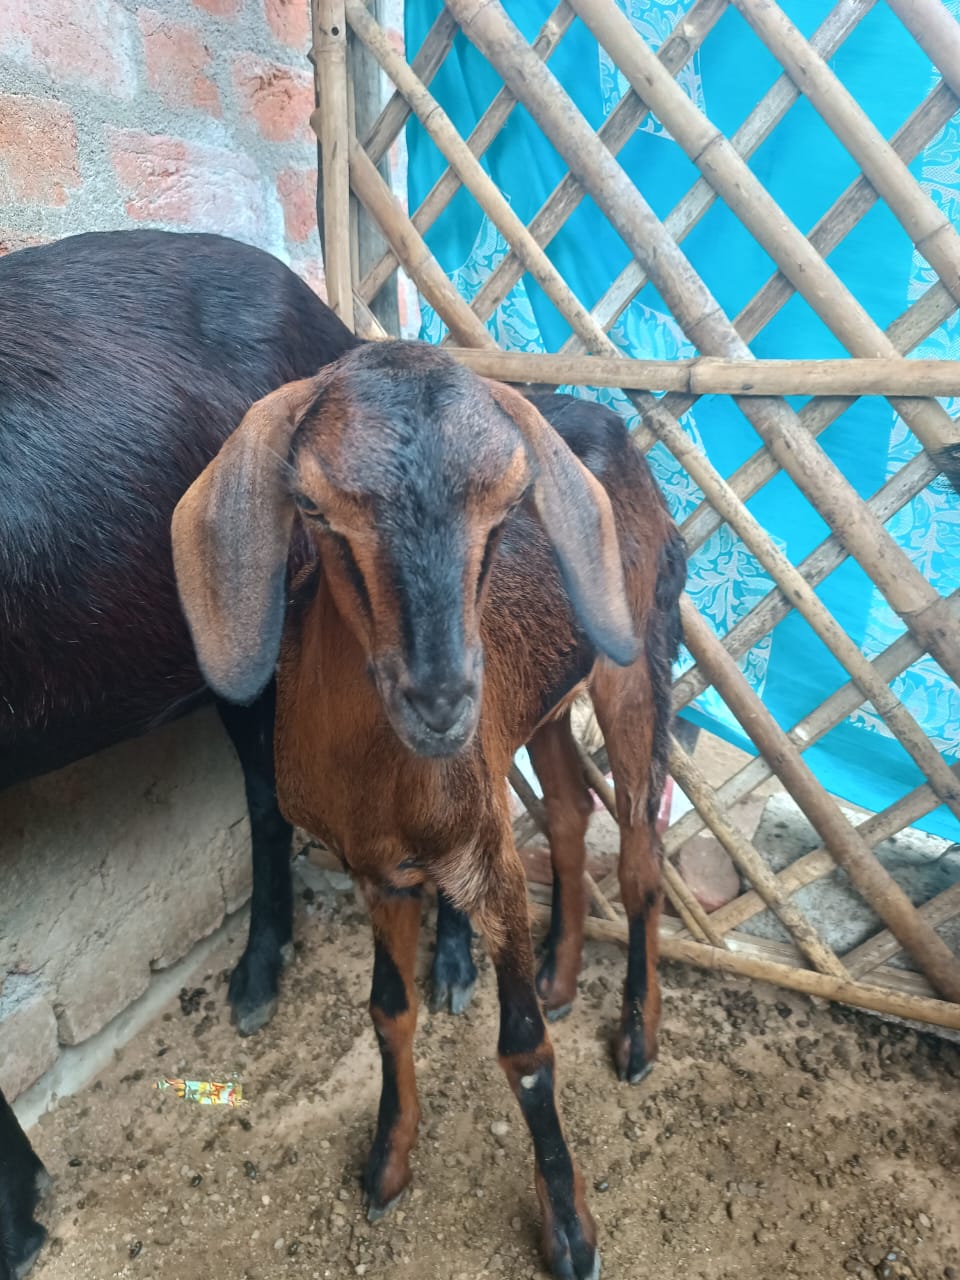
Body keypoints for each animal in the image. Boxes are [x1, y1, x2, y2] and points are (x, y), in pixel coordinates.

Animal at [172, 341, 686, 1279]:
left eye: (511, 501)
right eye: (312, 505)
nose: (443, 703)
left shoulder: (487, 863)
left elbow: (524, 1052)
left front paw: (570, 1232)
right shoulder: (378, 869)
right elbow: (388, 1011)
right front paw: (387, 1161)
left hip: (636, 664)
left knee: (637, 856)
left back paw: (637, 1037)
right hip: (536, 708)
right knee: (566, 810)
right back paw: (561, 977)